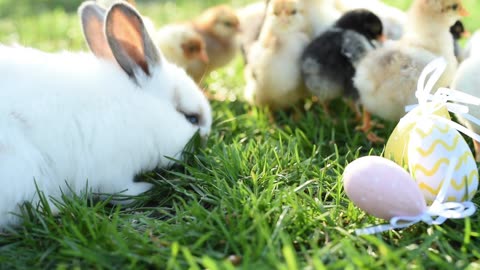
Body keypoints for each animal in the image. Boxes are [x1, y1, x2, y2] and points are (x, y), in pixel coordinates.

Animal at [0, 1, 212, 229]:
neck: (141, 109)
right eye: (191, 118)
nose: (205, 140)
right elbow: (121, 192)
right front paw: (146, 188)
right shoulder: (114, 172)